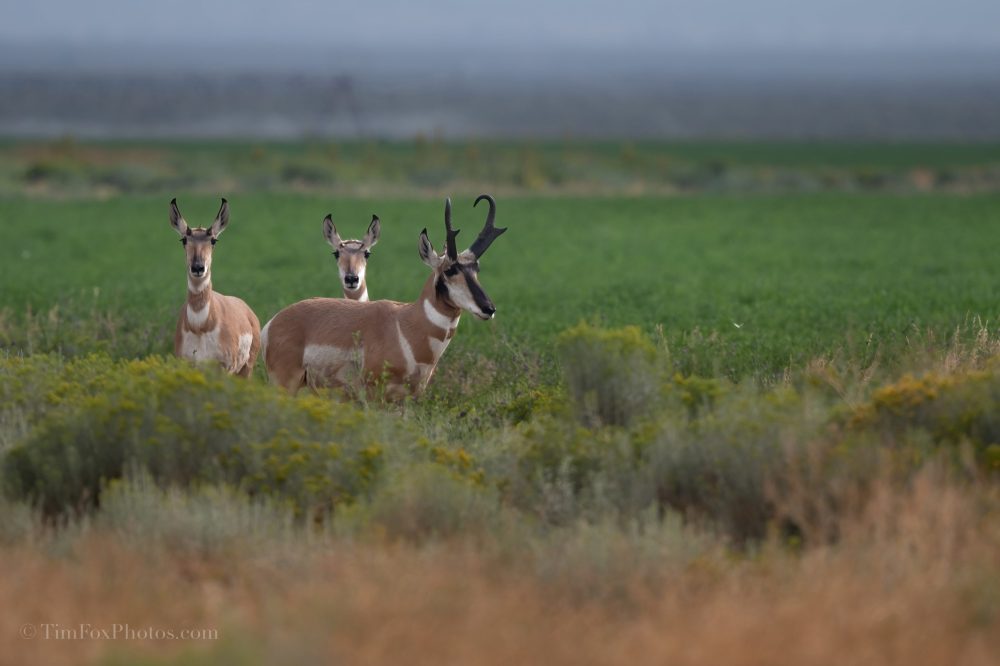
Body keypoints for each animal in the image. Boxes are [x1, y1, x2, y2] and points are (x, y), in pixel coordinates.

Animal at [169, 198, 261, 377]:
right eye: (184, 240)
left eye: (213, 240)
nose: (198, 267)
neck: (200, 326)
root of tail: (248, 311)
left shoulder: (225, 369)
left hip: (246, 369)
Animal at [262, 195, 507, 400]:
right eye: (450, 270)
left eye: (476, 268)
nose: (489, 308)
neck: (406, 324)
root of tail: (273, 322)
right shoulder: (373, 396)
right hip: (286, 386)